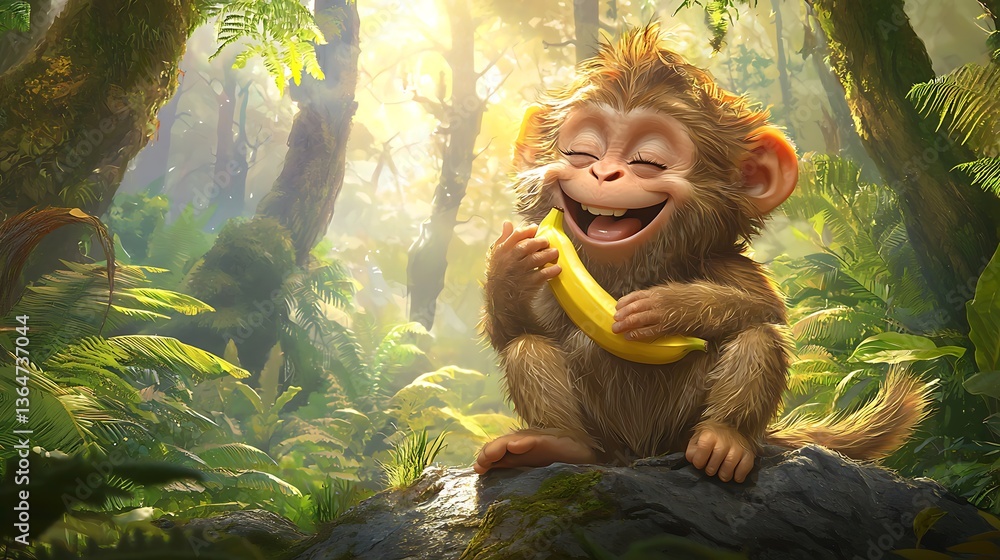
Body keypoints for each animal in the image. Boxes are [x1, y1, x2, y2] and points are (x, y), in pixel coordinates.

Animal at [474, 23, 932, 483]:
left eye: (648, 161)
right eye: (581, 154)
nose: (603, 172)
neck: (627, 272)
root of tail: (637, 451)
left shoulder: (727, 263)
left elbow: (766, 310)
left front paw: (667, 307)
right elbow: (516, 329)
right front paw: (510, 265)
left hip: (682, 426)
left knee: (758, 337)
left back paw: (723, 439)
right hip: (604, 437)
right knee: (527, 347)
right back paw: (555, 442)